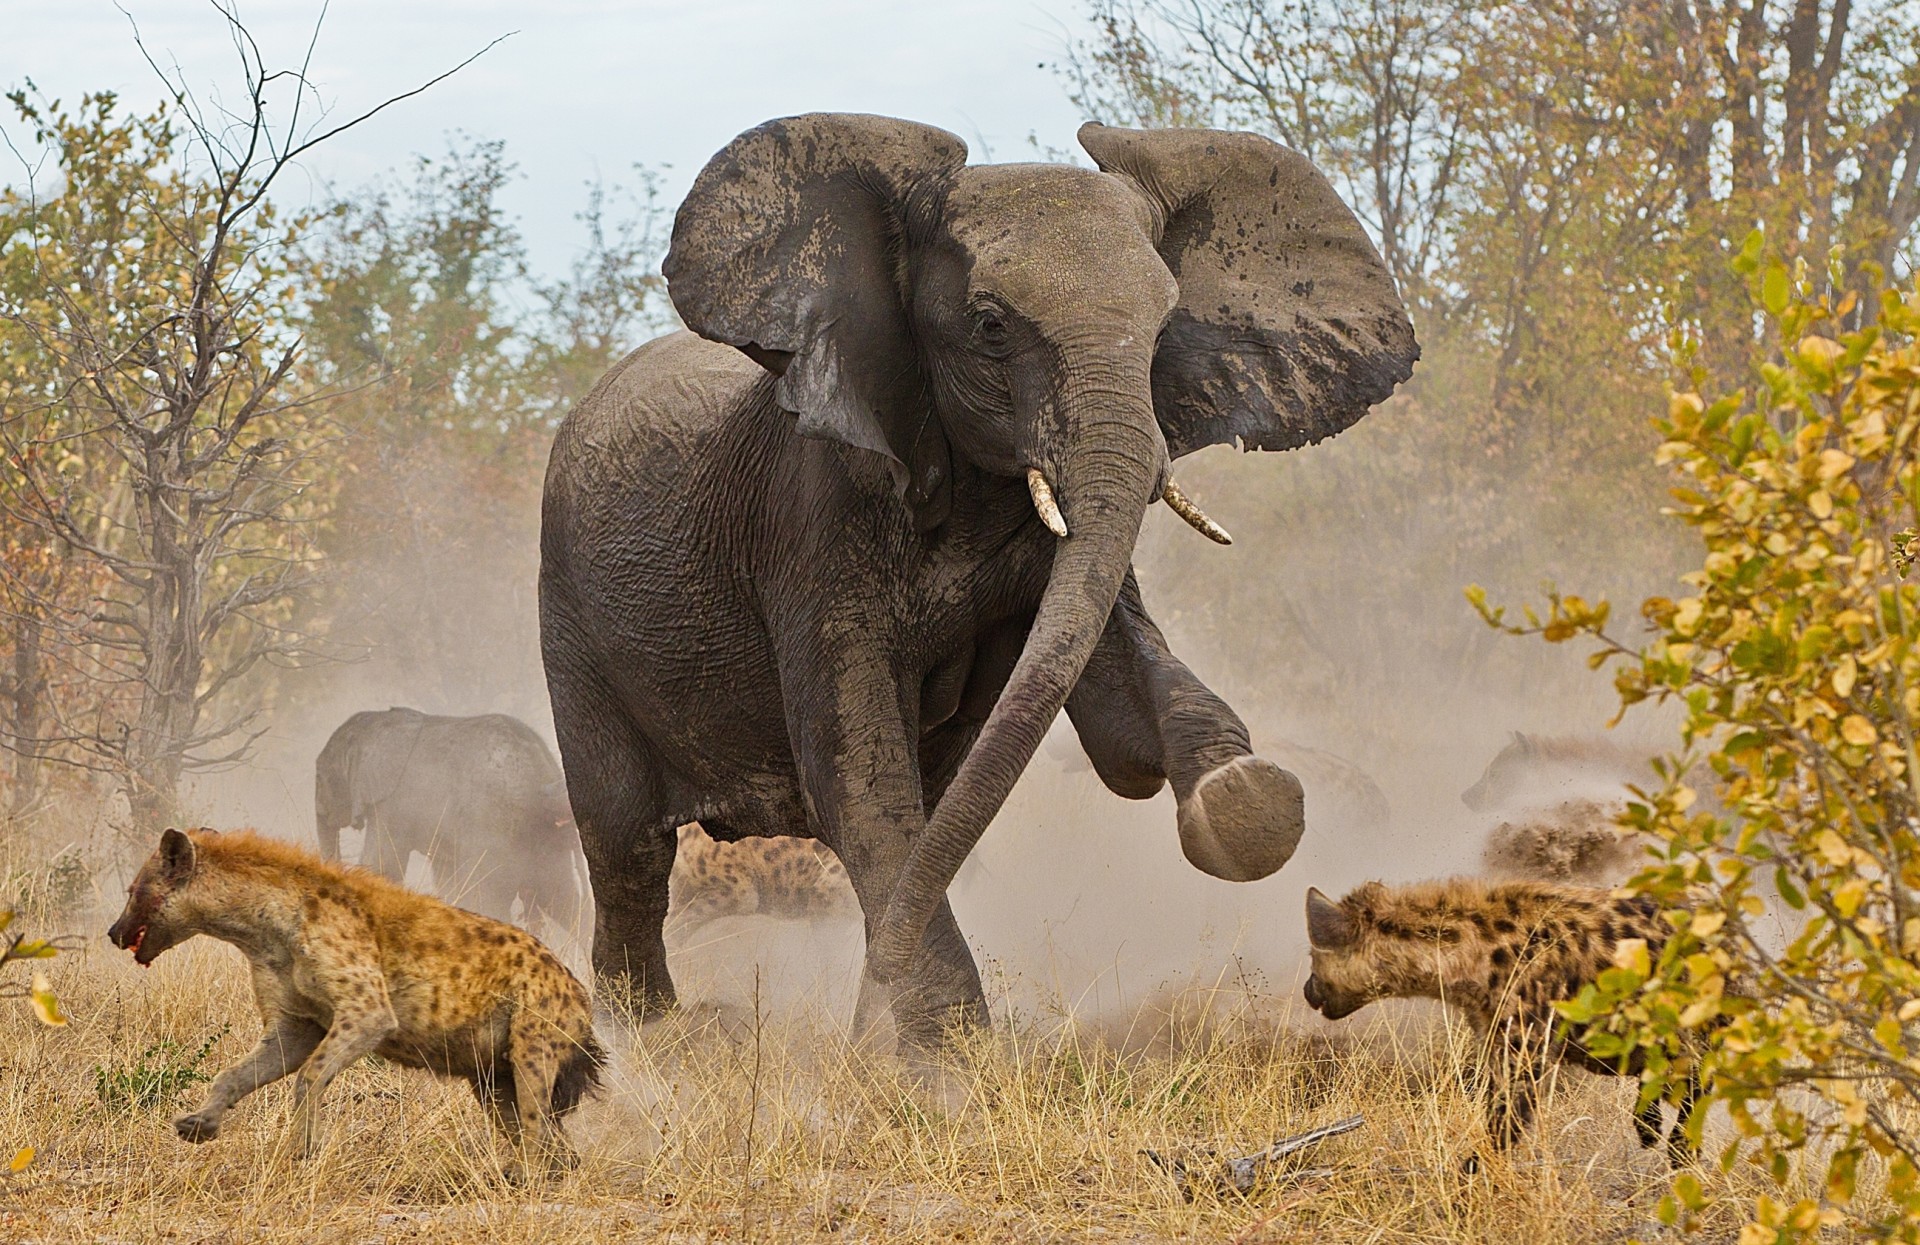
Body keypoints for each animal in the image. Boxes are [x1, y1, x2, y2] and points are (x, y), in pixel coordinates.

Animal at [314, 707, 579, 929]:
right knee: (566, 902)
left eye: (321, 776)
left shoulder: (392, 804)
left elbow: (381, 863)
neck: (375, 721)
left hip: (494, 828)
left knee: (489, 897)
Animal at [533, 114, 1420, 1052]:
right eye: (991, 326)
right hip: (570, 616)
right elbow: (855, 772)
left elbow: (1117, 711)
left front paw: (1244, 797)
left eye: (1163, 329)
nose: (861, 1027)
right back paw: (652, 1037)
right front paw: (950, 1062)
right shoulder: (812, 515)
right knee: (628, 843)